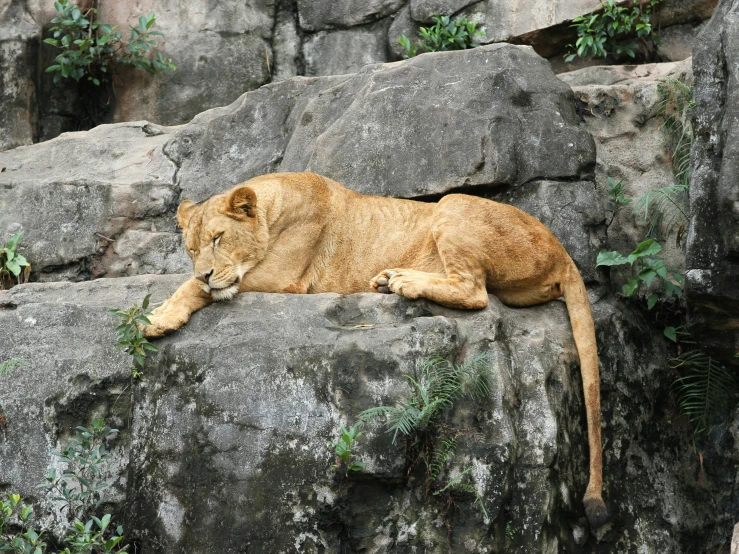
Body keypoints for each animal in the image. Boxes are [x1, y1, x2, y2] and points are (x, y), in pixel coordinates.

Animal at [142, 169, 608, 528]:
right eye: (192, 248)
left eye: (219, 239)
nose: (204, 271)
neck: (276, 204)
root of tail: (564, 252)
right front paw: (171, 302)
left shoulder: (283, 278)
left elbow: (191, 288)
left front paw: (159, 317)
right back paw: (388, 279)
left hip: (453, 205)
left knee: (474, 291)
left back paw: (401, 280)